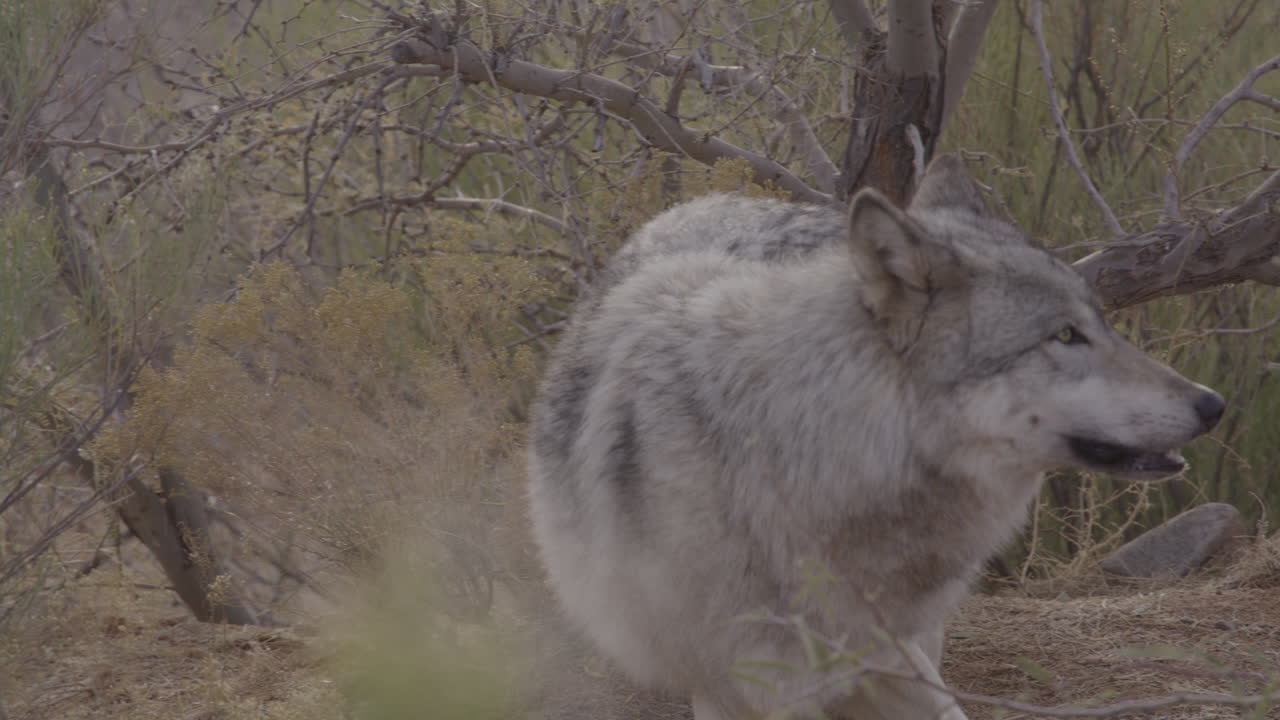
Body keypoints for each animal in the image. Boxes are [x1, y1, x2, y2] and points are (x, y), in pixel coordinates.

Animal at [527, 155, 1224, 719]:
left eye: (1100, 324)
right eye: (1063, 336)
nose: (1213, 404)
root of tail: (705, 199)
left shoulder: (890, 660)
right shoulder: (747, 691)